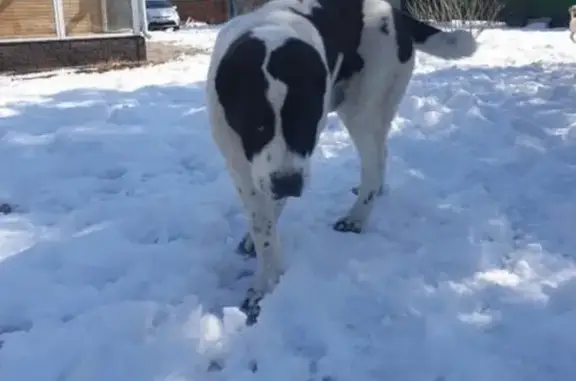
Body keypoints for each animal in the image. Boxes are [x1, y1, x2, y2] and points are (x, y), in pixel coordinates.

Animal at [207, 0, 476, 320]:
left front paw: (263, 290)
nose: (288, 184)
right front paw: (259, 245)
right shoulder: (240, 162)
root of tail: (394, 12)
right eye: (257, 126)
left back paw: (357, 216)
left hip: (361, 108)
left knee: (373, 162)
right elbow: (264, 221)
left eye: (304, 124)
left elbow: (267, 226)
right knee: (381, 151)